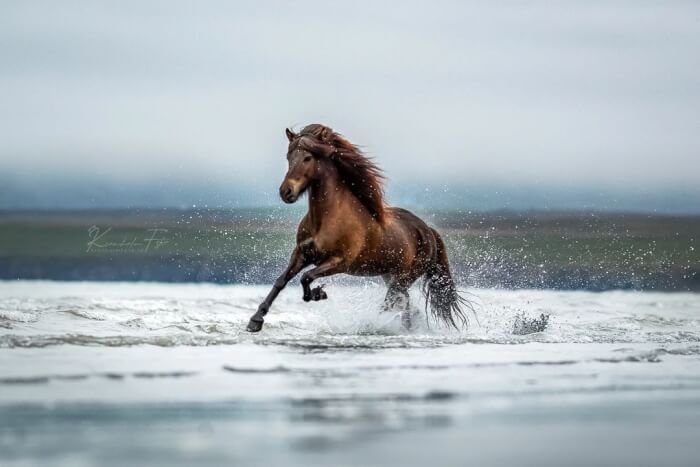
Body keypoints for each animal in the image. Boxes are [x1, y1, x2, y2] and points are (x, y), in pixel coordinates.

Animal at [246, 123, 470, 332]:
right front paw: (255, 320)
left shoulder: (339, 262)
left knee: (392, 300)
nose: (286, 192)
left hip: (404, 276)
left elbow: (306, 277)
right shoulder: (302, 253)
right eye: (288, 157)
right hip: (390, 274)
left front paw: (318, 294)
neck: (327, 218)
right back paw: (405, 328)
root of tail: (428, 231)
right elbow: (281, 281)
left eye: (308, 158)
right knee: (402, 301)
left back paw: (377, 325)